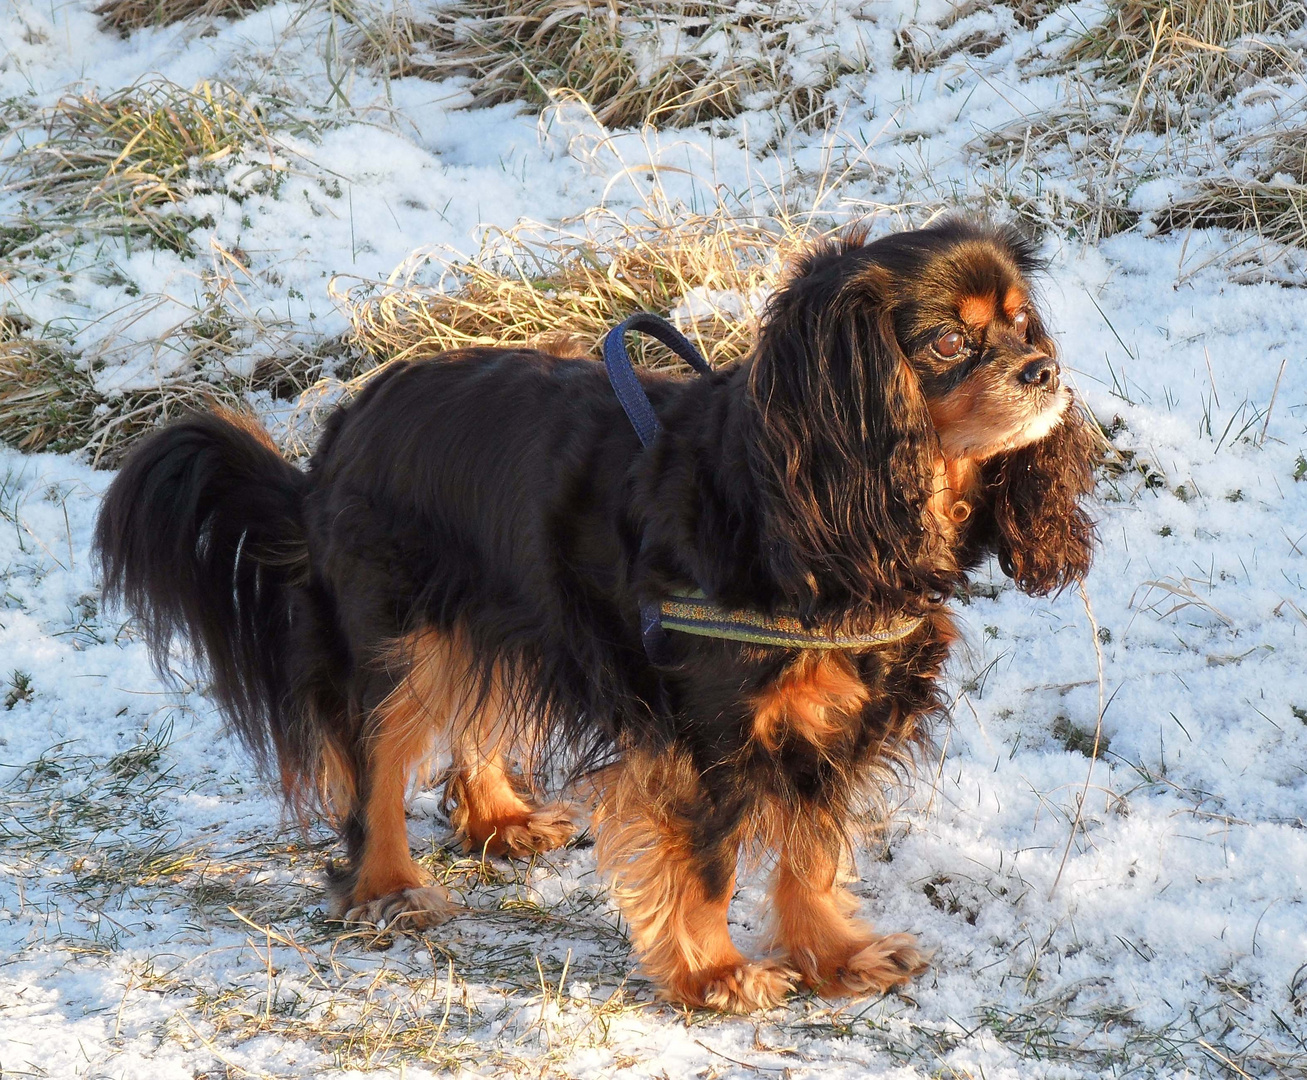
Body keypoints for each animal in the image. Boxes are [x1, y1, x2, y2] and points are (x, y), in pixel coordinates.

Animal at [94, 217, 1092, 1009]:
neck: (814, 500)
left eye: (1021, 324)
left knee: (475, 715)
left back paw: (497, 819)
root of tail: (338, 433)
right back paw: (387, 888)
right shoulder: (703, 735)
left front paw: (835, 956)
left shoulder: (833, 725)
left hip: (500, 616)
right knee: (374, 763)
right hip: (396, 642)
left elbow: (811, 849)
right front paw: (716, 975)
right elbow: (708, 867)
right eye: (946, 344)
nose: (1047, 370)